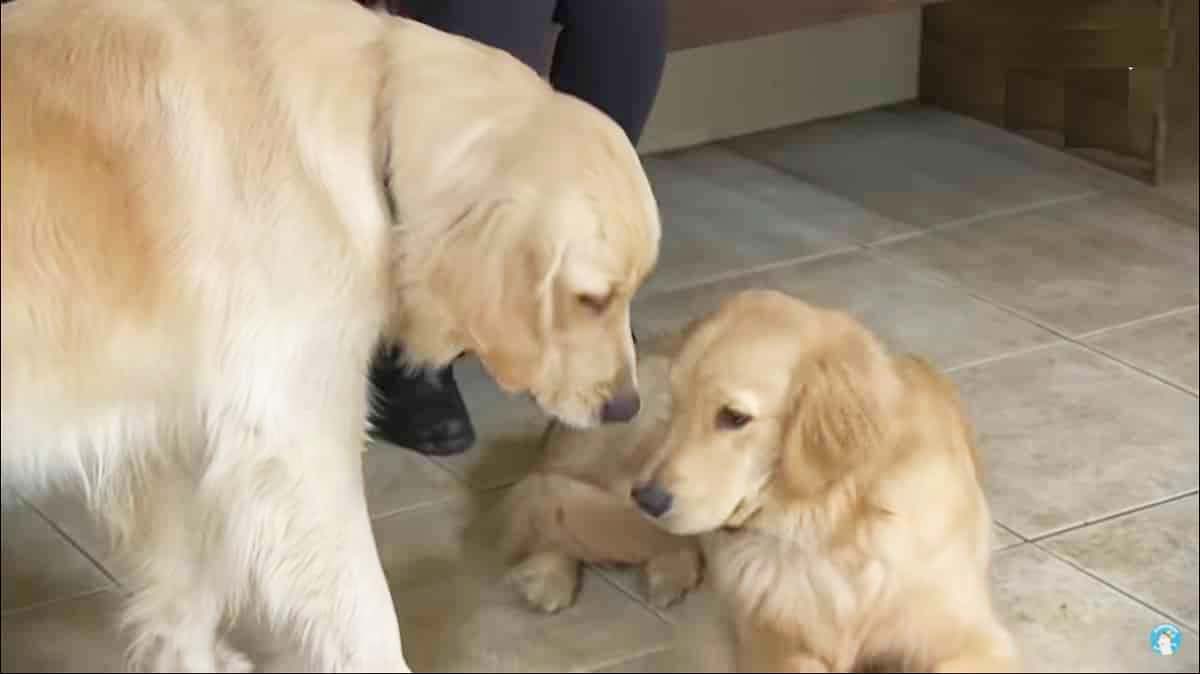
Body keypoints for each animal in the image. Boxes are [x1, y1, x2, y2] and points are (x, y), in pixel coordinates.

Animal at [0, 1, 662, 671]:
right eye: (592, 299)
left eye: (631, 291)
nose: (627, 407)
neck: (374, 115)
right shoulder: (301, 440)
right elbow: (365, 611)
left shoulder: (174, 430)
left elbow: (185, 584)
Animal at [633, 290, 1017, 671]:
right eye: (676, 405)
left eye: (734, 417)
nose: (646, 499)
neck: (830, 529)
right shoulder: (768, 641)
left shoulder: (972, 639)